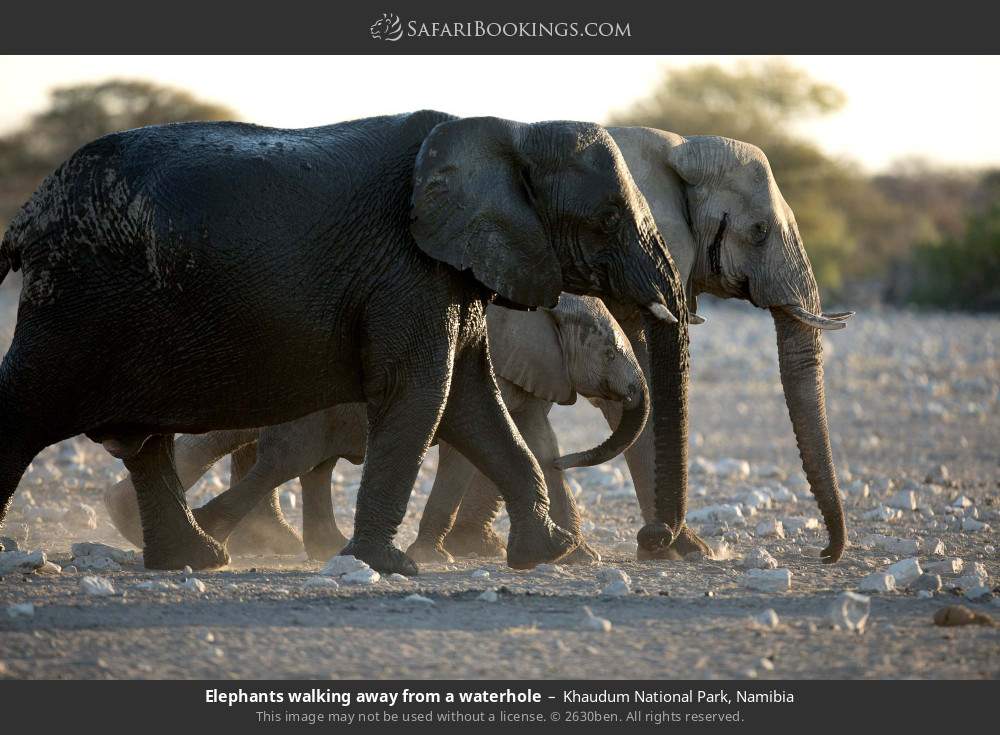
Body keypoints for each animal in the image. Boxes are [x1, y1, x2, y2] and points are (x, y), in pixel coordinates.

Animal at [103, 294, 649, 563]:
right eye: (606, 350)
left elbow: (536, 441)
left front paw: (581, 557)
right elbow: (463, 453)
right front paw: (432, 556)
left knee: (302, 461)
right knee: (287, 458)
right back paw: (207, 536)